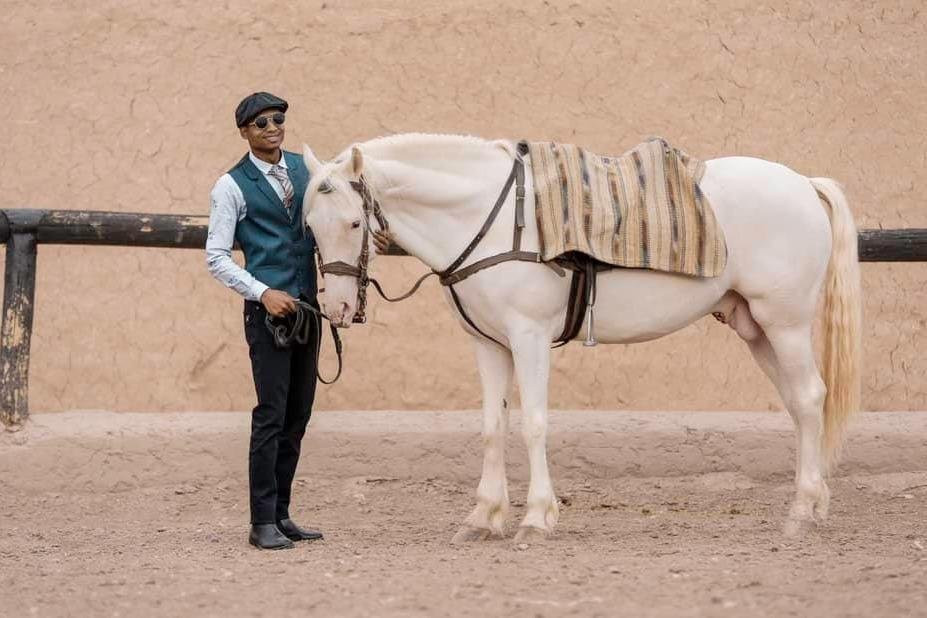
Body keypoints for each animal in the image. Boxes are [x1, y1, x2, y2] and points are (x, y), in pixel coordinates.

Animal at [300, 133, 861, 542]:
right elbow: (492, 428)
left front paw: (536, 518)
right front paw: (483, 517)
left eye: (354, 223)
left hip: (784, 323)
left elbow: (534, 424)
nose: (337, 308)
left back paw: (802, 512)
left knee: (809, 398)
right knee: (799, 406)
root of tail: (804, 184)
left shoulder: (528, 338)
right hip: (756, 329)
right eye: (308, 226)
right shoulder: (489, 345)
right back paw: (814, 503)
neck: (493, 220)